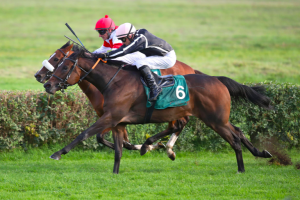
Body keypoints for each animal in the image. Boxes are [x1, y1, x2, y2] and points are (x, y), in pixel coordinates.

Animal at [44, 48, 272, 173]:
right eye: (58, 63)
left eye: (64, 66)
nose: (47, 84)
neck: (114, 81)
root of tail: (217, 79)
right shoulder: (118, 122)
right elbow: (118, 151)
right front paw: (115, 173)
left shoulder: (110, 117)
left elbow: (84, 134)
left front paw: (57, 153)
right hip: (218, 118)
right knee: (238, 132)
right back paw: (261, 152)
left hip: (215, 120)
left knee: (233, 139)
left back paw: (241, 169)